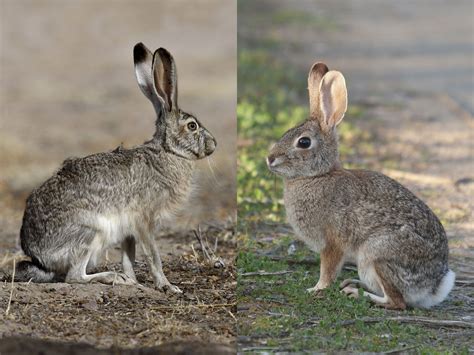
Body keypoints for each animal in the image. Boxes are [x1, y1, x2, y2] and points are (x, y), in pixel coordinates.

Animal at [15, 42, 217, 294]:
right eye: (192, 126)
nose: (213, 144)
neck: (168, 151)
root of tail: (38, 256)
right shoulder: (144, 220)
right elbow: (153, 256)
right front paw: (167, 286)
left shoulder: (128, 229)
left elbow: (129, 256)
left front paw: (133, 280)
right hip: (89, 233)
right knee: (74, 276)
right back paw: (113, 278)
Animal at [266, 62, 456, 310]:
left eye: (304, 142)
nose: (270, 159)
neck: (318, 175)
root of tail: (433, 286)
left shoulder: (333, 242)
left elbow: (328, 270)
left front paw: (316, 289)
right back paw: (353, 284)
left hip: (375, 253)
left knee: (397, 302)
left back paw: (356, 294)